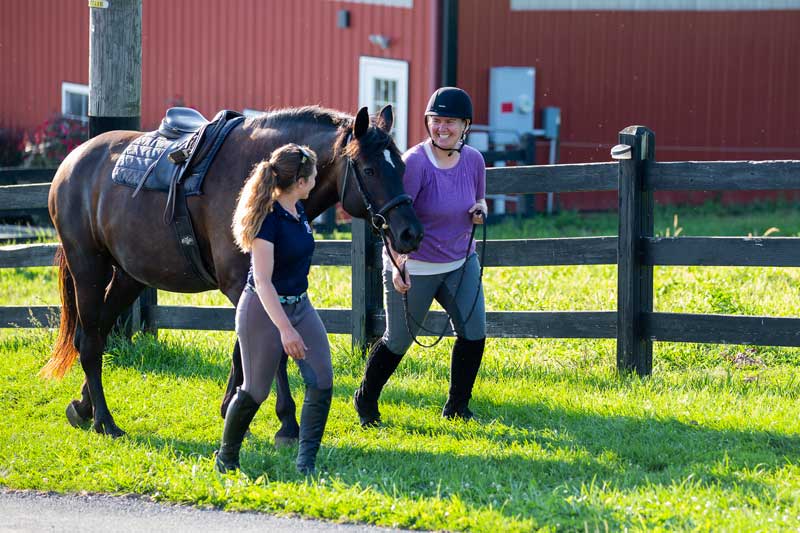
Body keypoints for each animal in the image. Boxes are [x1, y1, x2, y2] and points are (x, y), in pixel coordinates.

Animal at [40, 104, 422, 436]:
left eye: (402, 168)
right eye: (369, 170)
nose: (411, 233)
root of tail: (72, 161)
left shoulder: (256, 286)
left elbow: (242, 350)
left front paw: (233, 408)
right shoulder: (245, 285)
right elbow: (270, 349)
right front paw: (287, 422)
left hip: (129, 276)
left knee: (96, 333)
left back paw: (84, 407)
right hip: (88, 268)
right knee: (90, 340)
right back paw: (104, 421)